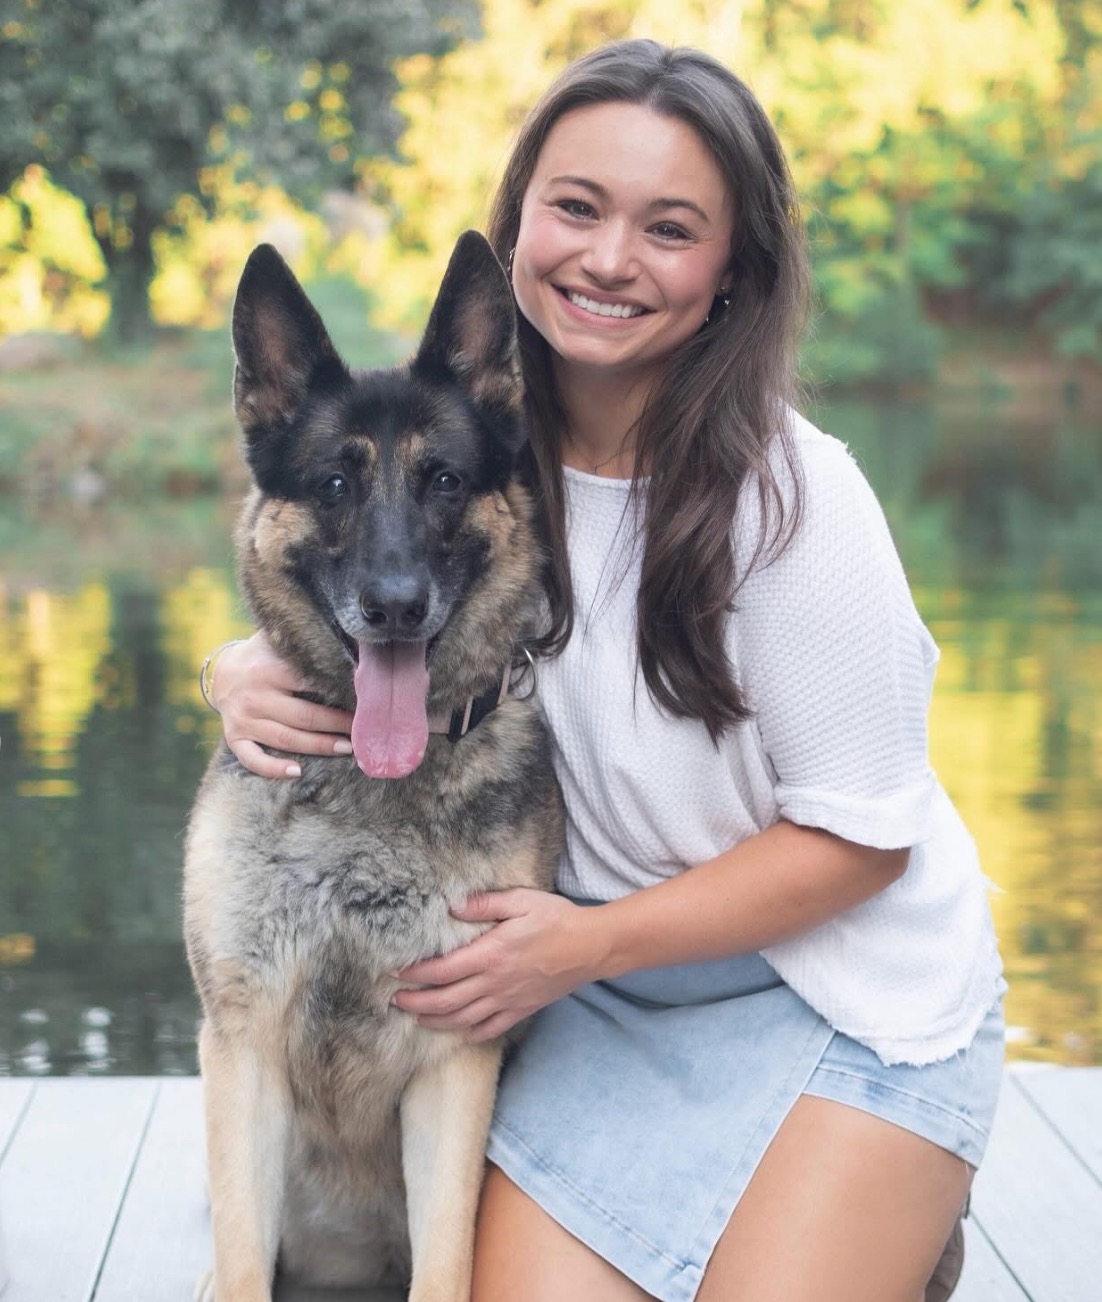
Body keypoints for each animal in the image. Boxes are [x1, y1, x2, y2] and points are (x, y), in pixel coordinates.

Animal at [184, 231, 564, 1302]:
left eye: (443, 480)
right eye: (335, 485)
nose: (394, 606)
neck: (367, 803)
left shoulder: (453, 1068)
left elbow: (446, 1261)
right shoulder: (242, 1052)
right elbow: (240, 1261)